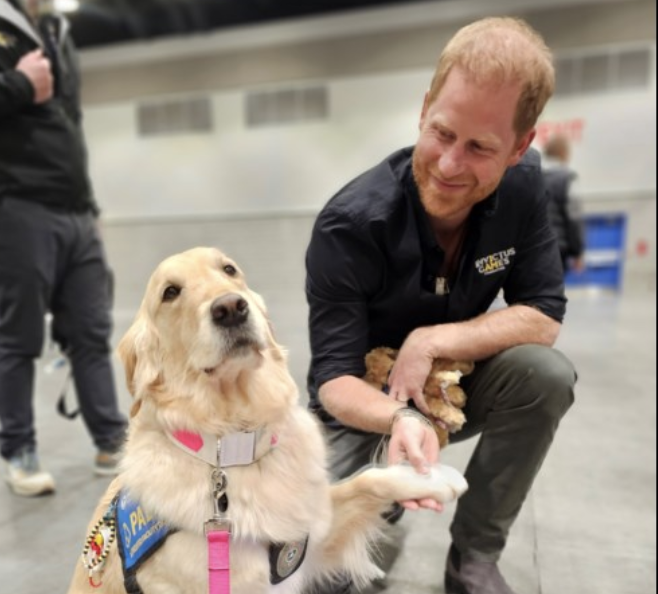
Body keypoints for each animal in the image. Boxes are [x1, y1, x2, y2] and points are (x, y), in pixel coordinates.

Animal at [66, 246, 466, 592]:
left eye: (229, 270)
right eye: (170, 292)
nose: (231, 308)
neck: (232, 446)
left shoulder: (305, 537)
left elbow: (367, 481)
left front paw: (430, 477)